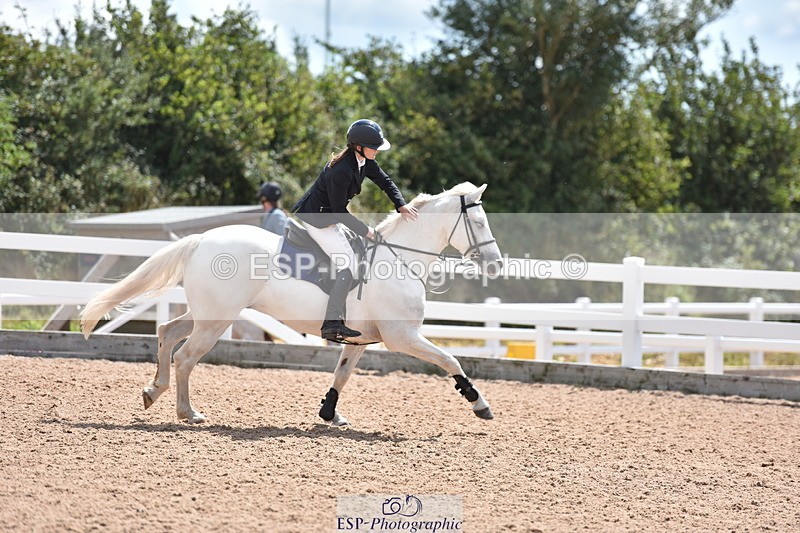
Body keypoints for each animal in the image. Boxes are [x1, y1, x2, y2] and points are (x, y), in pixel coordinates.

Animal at [81, 182, 503, 425]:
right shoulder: (404, 337)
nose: (496, 264)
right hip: (218, 320)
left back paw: (154, 391)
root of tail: (203, 239)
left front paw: (330, 414)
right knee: (185, 357)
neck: (400, 258)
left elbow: (342, 374)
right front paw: (479, 403)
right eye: (478, 222)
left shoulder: (362, 340)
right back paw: (188, 413)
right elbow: (451, 360)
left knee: (168, 332)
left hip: (209, 315)